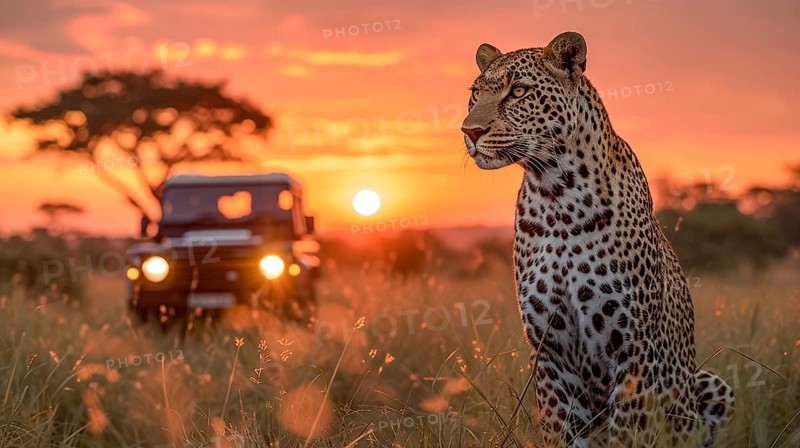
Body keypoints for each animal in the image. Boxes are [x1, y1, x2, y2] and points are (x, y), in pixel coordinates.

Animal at [460, 32, 734, 447]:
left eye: (518, 91)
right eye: (476, 94)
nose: (470, 131)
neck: (555, 195)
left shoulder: (633, 349)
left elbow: (626, 432)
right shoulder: (550, 351)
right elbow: (559, 430)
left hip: (710, 383)